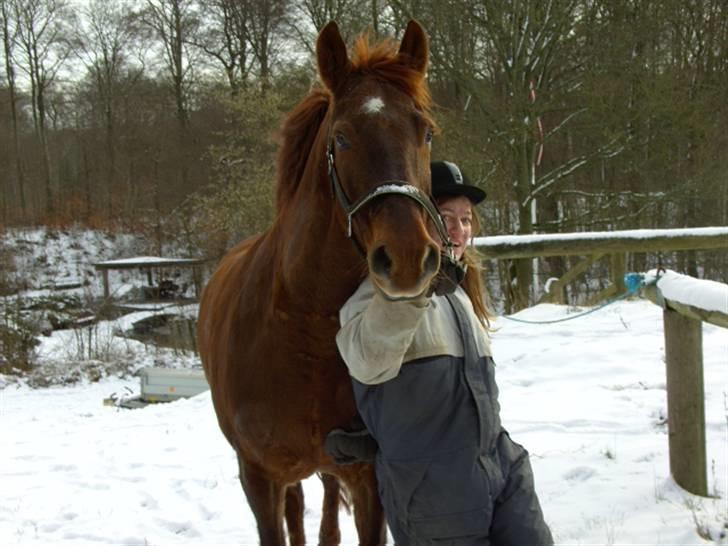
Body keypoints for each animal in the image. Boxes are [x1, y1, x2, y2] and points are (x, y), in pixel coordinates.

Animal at [196, 21, 440, 544]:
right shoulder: (259, 478)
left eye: (426, 132)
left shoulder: (367, 478)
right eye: (342, 138)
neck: (301, 330)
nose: (409, 257)